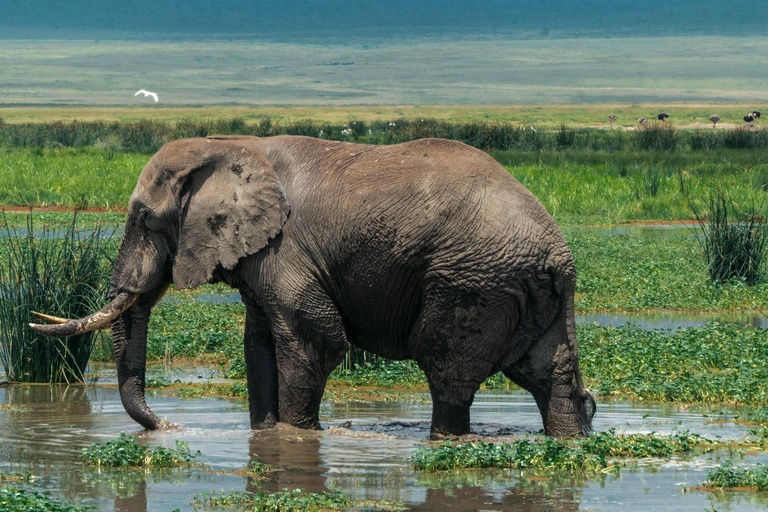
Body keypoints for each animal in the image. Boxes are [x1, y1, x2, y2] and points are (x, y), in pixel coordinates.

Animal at [31, 134, 592, 438]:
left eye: (145, 219)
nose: (170, 427)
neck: (228, 146)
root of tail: (556, 251)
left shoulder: (287, 249)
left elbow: (313, 340)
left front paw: (295, 436)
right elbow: (258, 343)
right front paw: (265, 435)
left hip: (470, 282)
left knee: (447, 372)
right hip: (527, 289)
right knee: (550, 374)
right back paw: (570, 435)